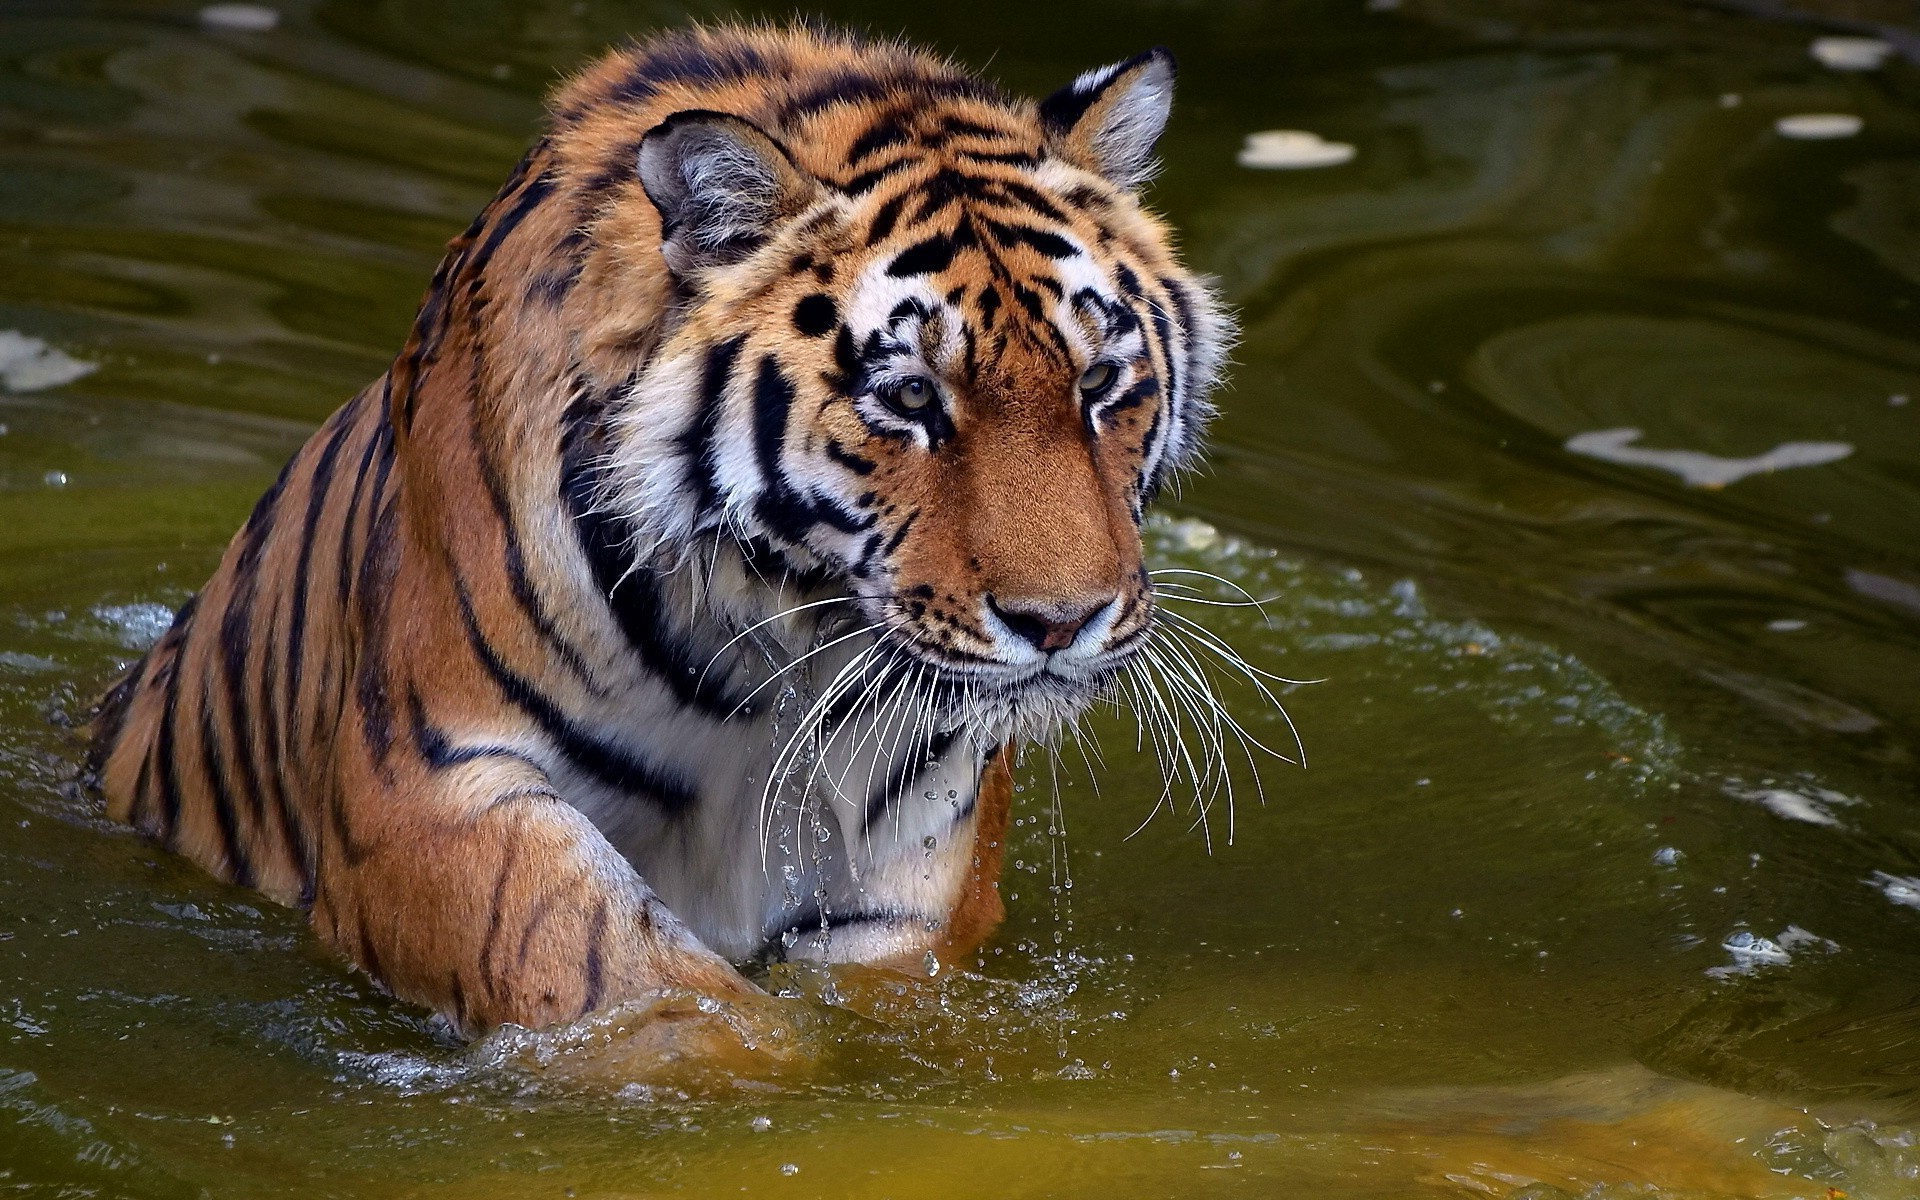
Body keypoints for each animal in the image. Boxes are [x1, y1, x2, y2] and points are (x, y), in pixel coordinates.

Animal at [82, 23, 1228, 1044]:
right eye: (908, 397)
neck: (778, 643)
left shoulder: (908, 852)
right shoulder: (425, 782)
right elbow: (606, 966)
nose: (1062, 624)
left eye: (1099, 383)